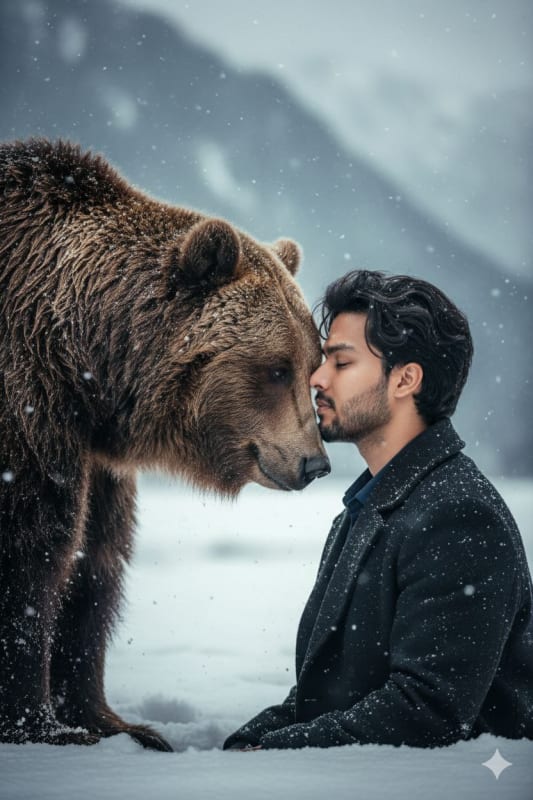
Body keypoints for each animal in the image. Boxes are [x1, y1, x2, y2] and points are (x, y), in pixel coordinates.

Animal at [0, 138, 330, 751]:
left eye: (312, 364)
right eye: (276, 368)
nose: (314, 462)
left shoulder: (96, 458)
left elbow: (98, 556)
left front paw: (116, 723)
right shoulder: (26, 408)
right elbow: (33, 547)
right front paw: (40, 724)